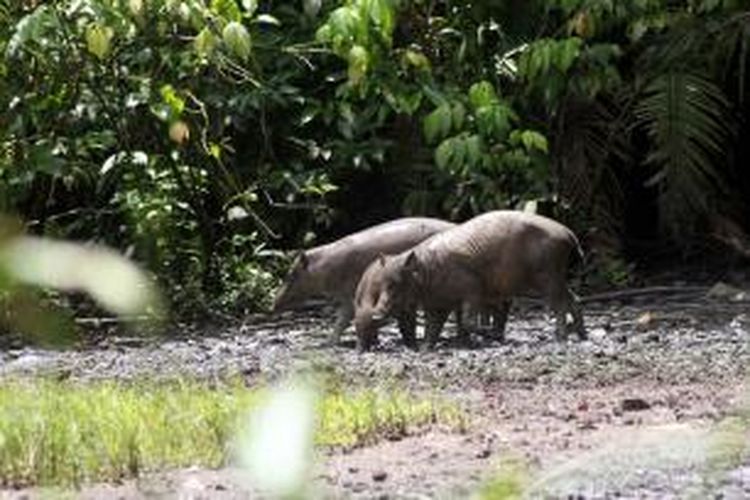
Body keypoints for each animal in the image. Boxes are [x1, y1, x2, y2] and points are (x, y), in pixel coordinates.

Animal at [274, 217, 456, 342]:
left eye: (291, 274)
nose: (273, 304)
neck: (321, 269)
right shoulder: (347, 296)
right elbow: (347, 317)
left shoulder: (350, 295)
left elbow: (343, 320)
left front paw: (329, 342)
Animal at [356, 211, 592, 352]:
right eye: (382, 284)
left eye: (397, 283)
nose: (375, 314)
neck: (427, 274)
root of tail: (569, 234)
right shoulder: (437, 303)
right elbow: (434, 326)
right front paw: (426, 349)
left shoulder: (473, 290)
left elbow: (467, 321)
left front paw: (485, 337)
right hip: (557, 277)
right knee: (575, 299)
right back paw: (581, 335)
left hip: (548, 276)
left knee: (560, 304)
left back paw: (560, 338)